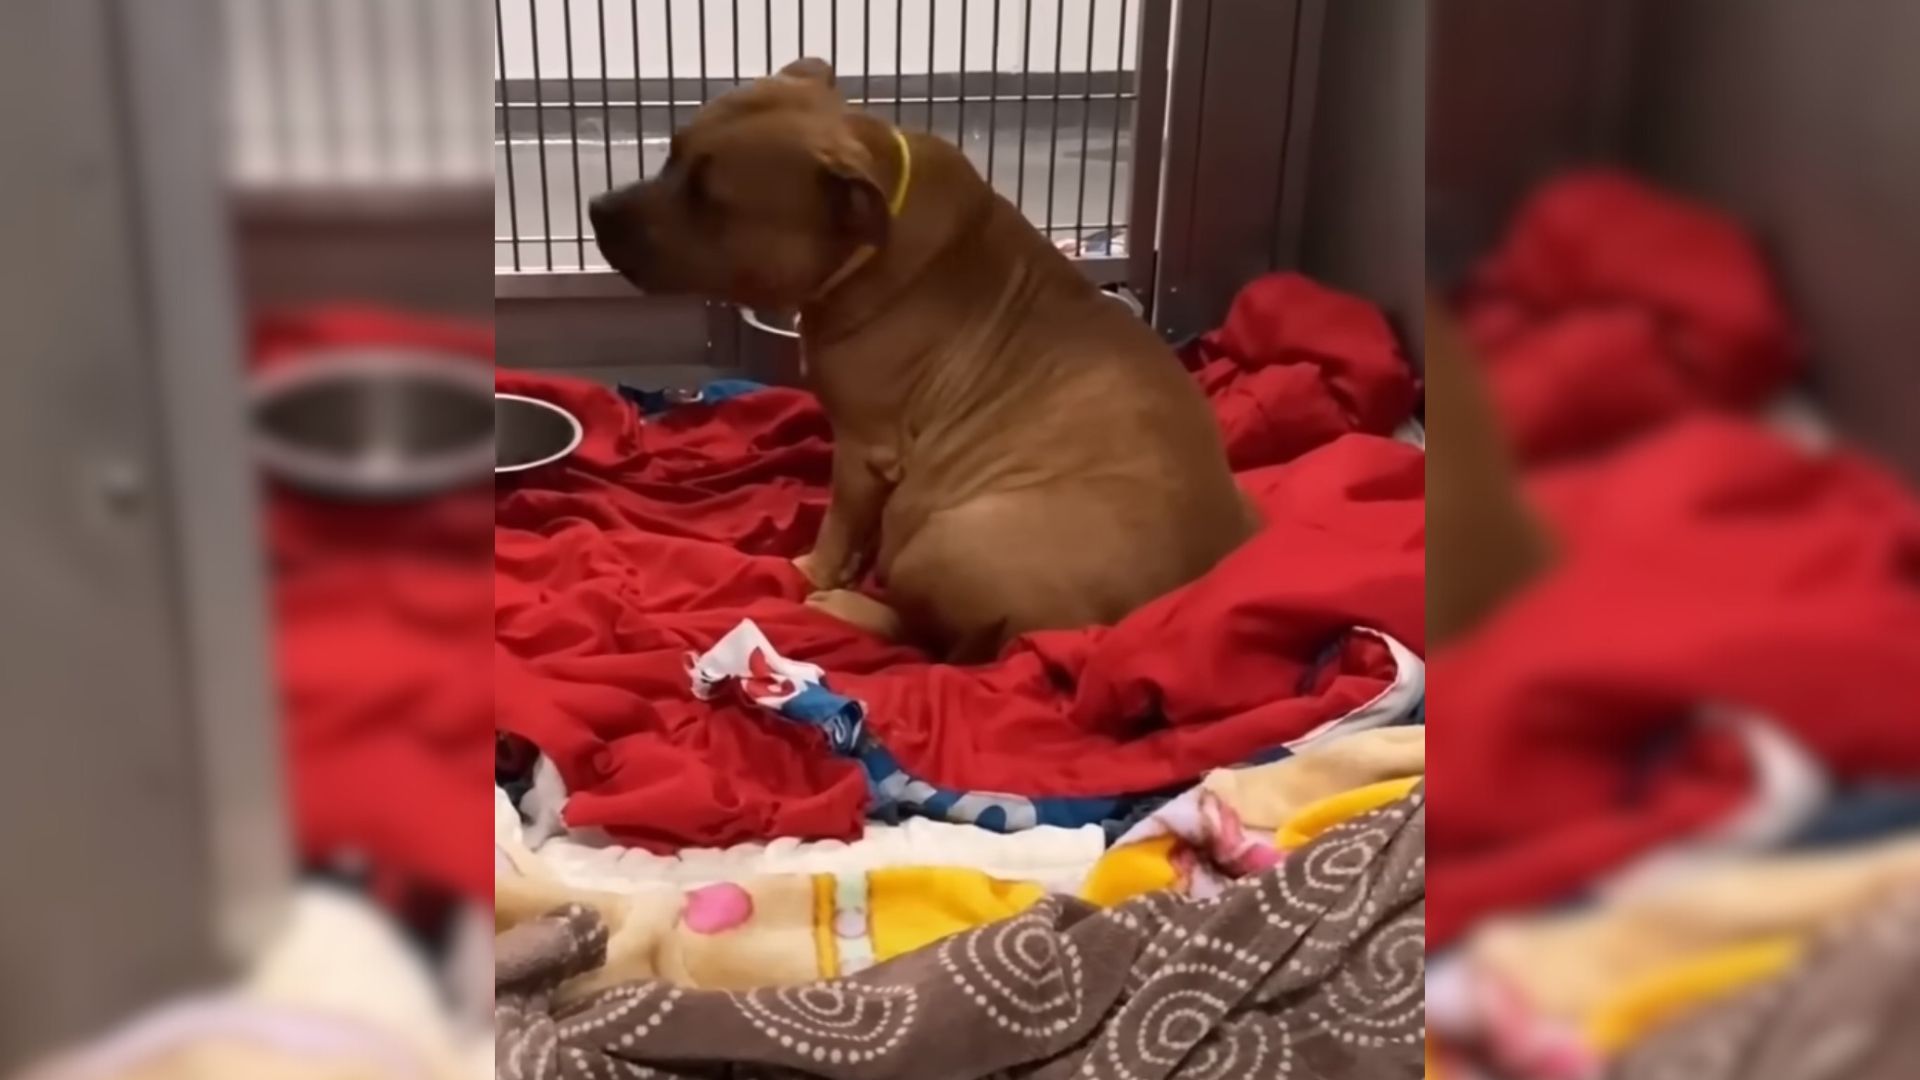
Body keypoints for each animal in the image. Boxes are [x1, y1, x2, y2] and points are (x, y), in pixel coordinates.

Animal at [595, 65, 1259, 664]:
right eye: (671, 156)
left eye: (708, 198)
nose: (598, 206)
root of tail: (1115, 627)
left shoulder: (862, 450)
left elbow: (837, 525)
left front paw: (812, 568)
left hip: (943, 539)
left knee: (921, 636)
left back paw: (847, 607)